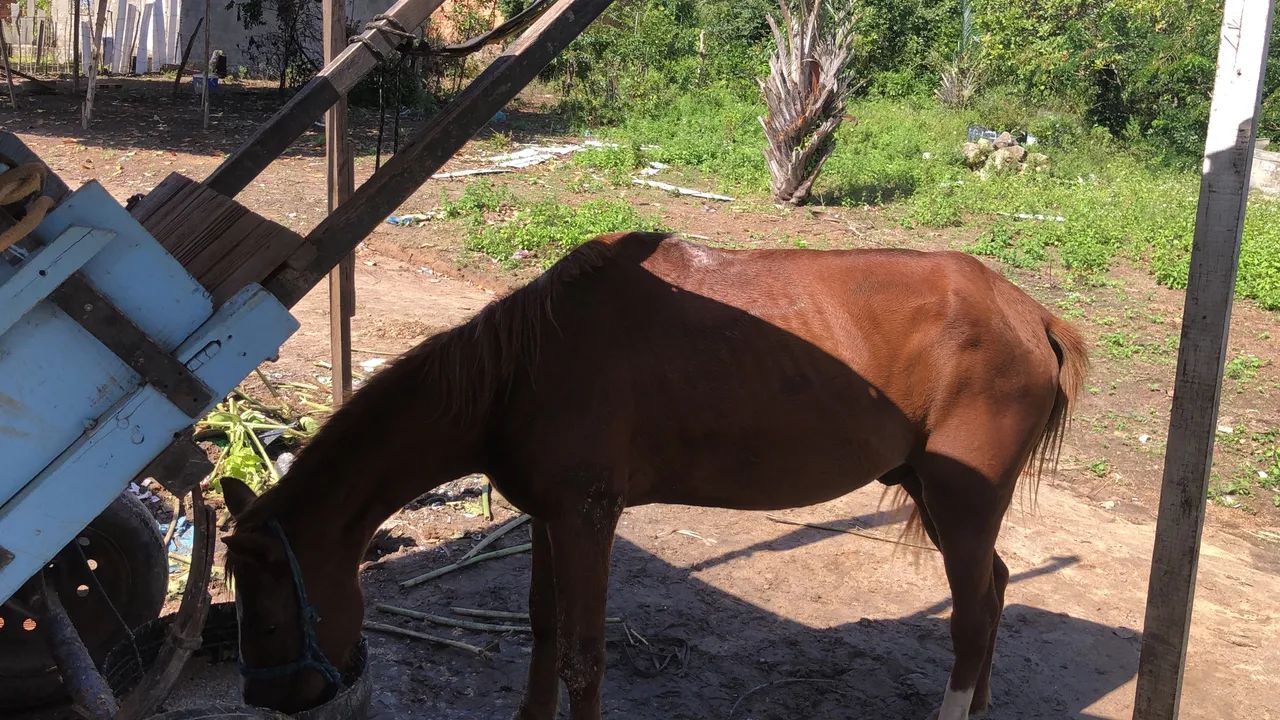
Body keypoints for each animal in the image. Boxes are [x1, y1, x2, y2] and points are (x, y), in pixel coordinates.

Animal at [220, 231, 1087, 720]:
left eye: (264, 618)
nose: (266, 698)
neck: (522, 371)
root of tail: (1030, 314)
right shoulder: (547, 517)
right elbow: (543, 630)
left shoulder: (588, 520)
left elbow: (584, 656)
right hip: (935, 496)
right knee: (995, 591)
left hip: (960, 501)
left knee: (970, 618)